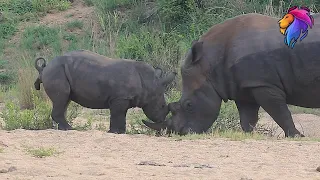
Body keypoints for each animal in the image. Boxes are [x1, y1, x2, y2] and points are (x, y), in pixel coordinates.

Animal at [34, 49, 178, 134]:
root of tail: (44, 68)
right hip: (56, 71)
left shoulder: (123, 98)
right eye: (162, 106)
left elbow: (122, 115)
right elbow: (117, 114)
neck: (150, 83)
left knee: (65, 100)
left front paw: (121, 132)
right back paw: (69, 129)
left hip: (58, 71)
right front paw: (114, 132)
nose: (161, 120)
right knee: (62, 98)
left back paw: (63, 129)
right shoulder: (120, 98)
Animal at [144, 12, 320, 137]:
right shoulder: (245, 87)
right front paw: (249, 135)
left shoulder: (263, 83)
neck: (209, 64)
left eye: (189, 105)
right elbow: (247, 118)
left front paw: (296, 136)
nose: (181, 133)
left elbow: (280, 113)